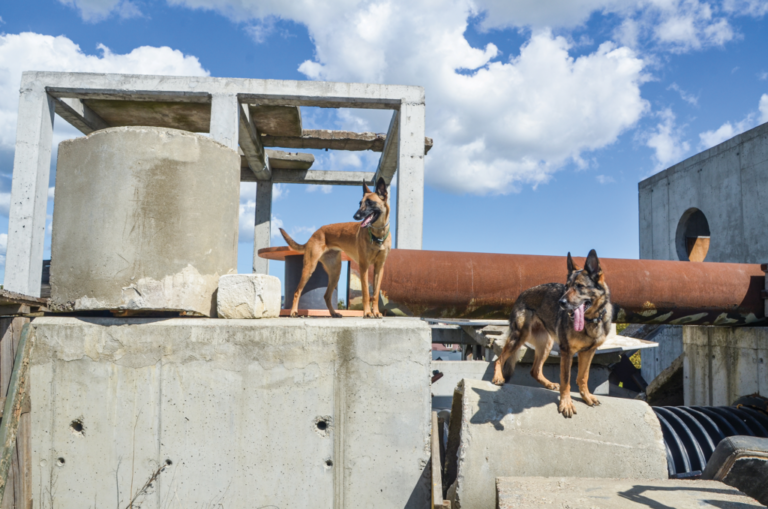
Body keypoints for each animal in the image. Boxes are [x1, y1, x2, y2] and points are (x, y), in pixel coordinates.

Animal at [280, 177, 390, 316]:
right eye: (360, 203)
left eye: (370, 203)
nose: (355, 216)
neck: (377, 236)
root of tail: (315, 232)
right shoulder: (364, 266)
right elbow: (366, 293)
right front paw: (367, 313)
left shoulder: (379, 268)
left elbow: (375, 294)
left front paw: (375, 312)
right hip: (309, 267)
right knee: (297, 291)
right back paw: (294, 311)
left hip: (335, 272)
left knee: (326, 296)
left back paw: (333, 313)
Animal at [492, 249, 612, 416]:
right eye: (567, 287)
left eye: (580, 286)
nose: (561, 302)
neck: (590, 321)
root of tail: (521, 294)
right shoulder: (567, 352)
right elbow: (566, 380)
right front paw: (566, 404)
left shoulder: (588, 352)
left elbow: (583, 377)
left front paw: (586, 397)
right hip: (518, 338)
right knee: (499, 359)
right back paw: (498, 377)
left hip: (546, 345)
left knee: (534, 370)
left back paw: (548, 384)